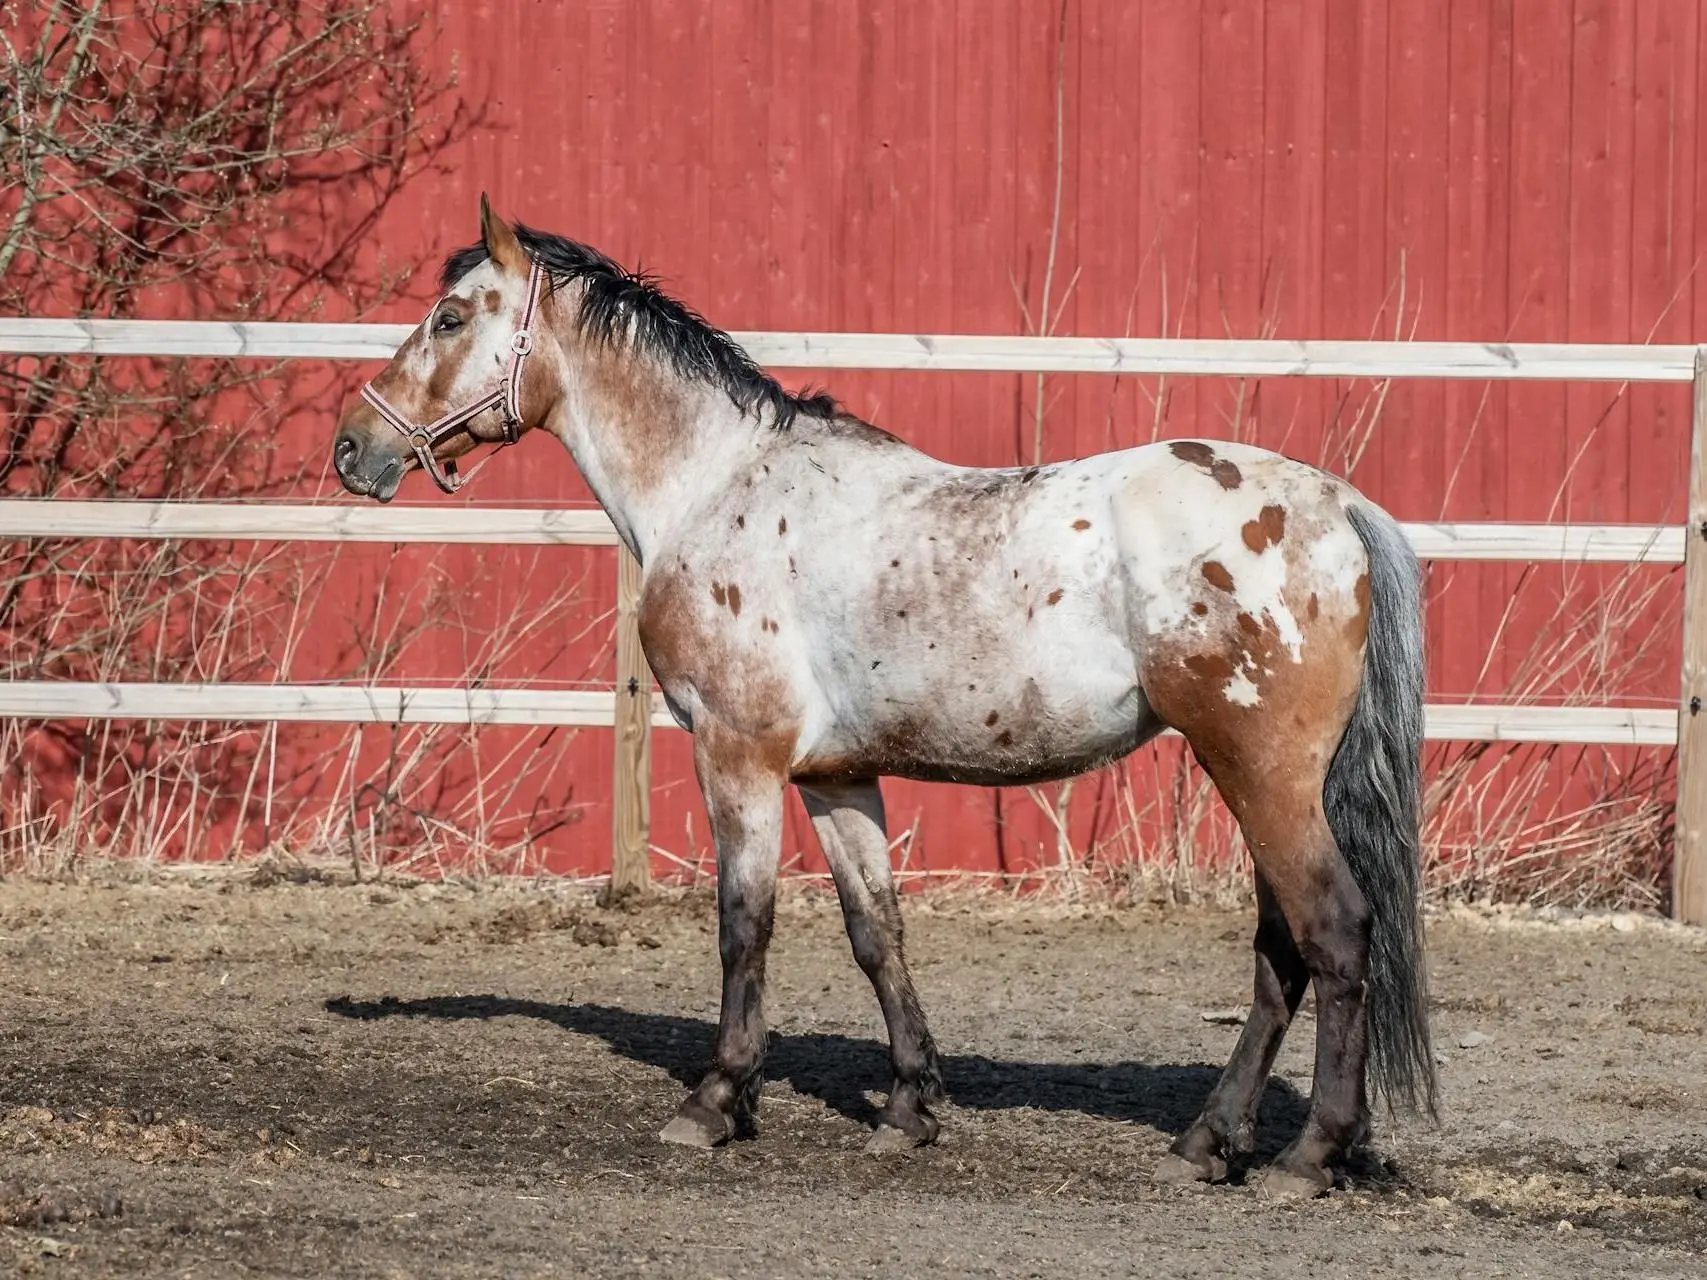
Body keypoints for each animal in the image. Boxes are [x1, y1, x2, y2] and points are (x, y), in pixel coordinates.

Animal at [329, 200, 1427, 1201]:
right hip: (1260, 778)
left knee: (1333, 932)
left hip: (1262, 773)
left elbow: (744, 923)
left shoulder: (738, 755)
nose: (351, 447)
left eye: (449, 317)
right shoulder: (836, 776)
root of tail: (1338, 505)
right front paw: (907, 1108)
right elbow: (876, 933)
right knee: (1282, 950)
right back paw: (1207, 1141)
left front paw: (715, 1102)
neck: (715, 485)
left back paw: (1304, 1157)